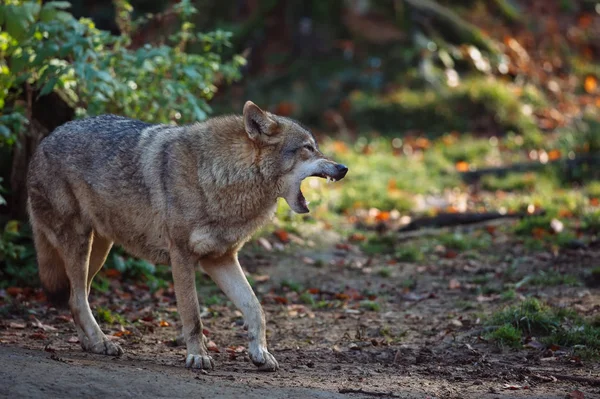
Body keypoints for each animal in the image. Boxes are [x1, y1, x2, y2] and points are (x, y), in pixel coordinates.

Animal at [27, 102, 346, 372]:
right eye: (308, 148)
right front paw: (198, 357)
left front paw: (260, 354)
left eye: (316, 147)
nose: (343, 168)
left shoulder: (221, 259)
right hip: (81, 244)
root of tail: (43, 142)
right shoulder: (181, 257)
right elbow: (193, 317)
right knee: (77, 299)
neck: (222, 178)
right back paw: (101, 341)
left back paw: (92, 343)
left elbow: (255, 309)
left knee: (75, 297)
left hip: (99, 250)